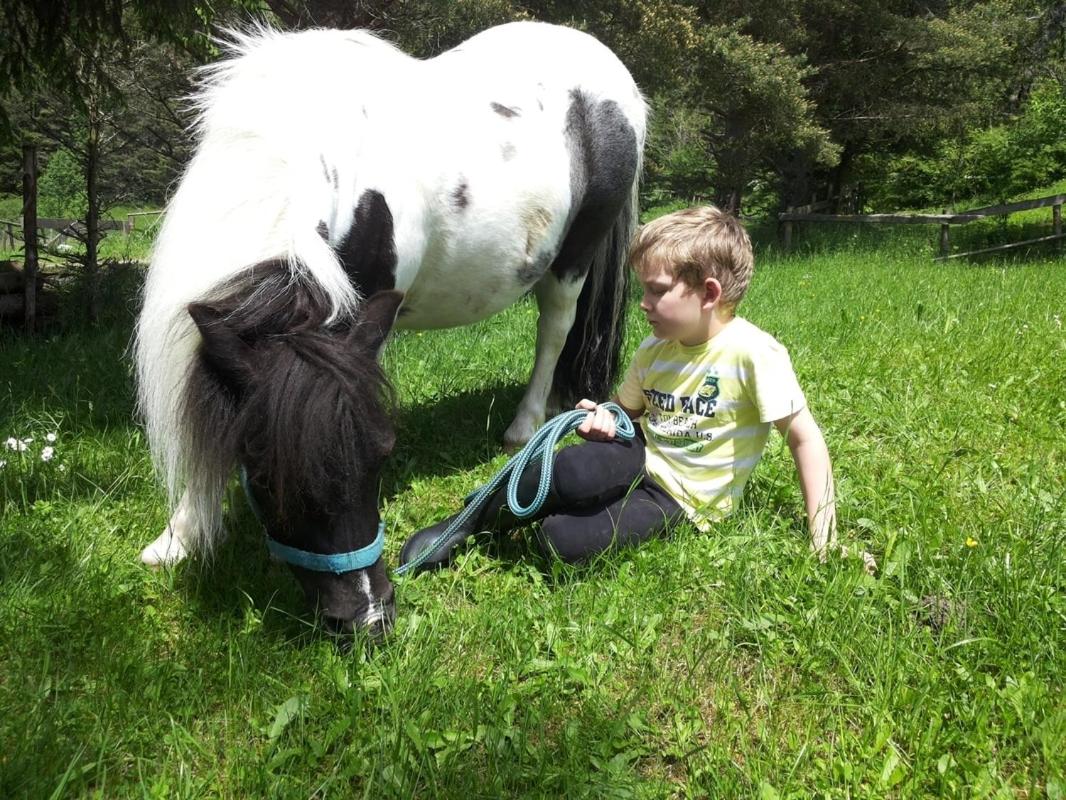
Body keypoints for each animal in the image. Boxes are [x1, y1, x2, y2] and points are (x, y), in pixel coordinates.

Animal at [134, 21, 646, 637]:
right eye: (267, 474)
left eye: (380, 459)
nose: (370, 616)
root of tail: (610, 73)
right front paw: (178, 539)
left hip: (574, 257)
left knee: (555, 330)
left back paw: (523, 427)